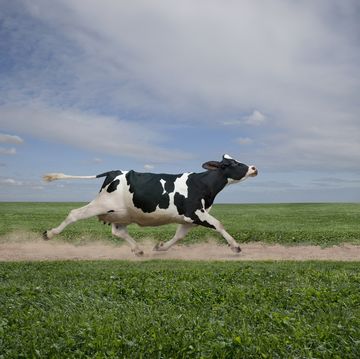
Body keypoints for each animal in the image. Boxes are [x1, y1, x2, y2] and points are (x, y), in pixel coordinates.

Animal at [42, 155, 258, 256]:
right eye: (233, 164)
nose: (254, 168)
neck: (203, 184)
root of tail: (113, 172)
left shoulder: (189, 218)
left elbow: (178, 236)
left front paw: (160, 247)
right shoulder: (196, 212)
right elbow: (219, 224)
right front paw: (236, 247)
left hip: (120, 213)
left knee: (118, 231)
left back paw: (138, 250)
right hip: (102, 204)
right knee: (74, 213)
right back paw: (49, 234)